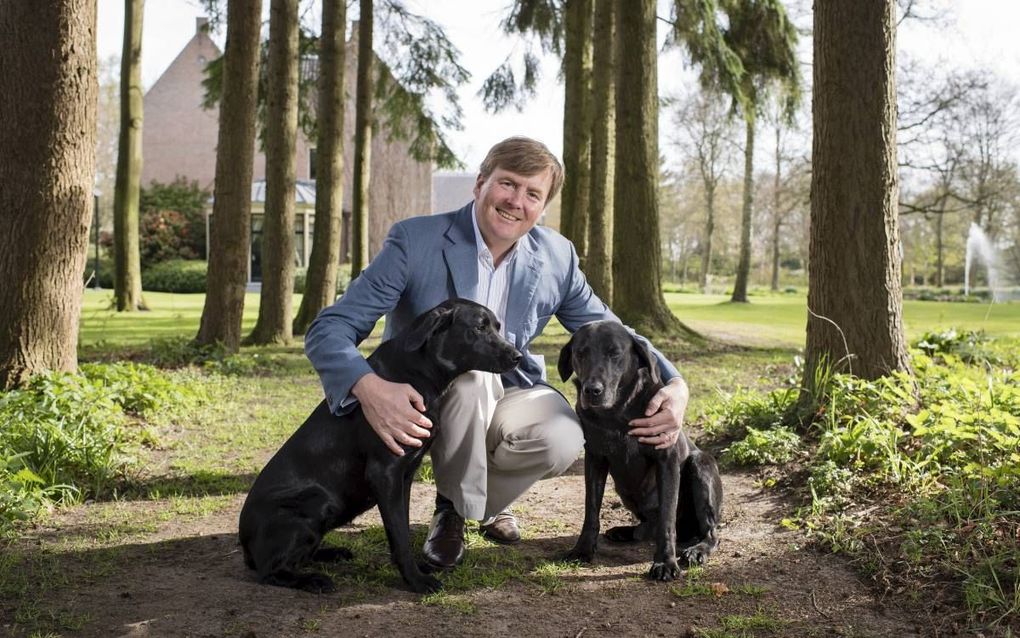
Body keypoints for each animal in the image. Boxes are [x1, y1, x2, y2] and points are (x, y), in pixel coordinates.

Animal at [239, 298, 522, 592]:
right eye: (479, 328)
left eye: (497, 326)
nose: (518, 357)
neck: (417, 372)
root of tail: (245, 542)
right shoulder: (385, 473)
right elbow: (399, 535)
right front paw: (417, 580)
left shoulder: (405, 476)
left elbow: (402, 528)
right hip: (315, 504)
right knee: (272, 571)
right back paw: (314, 580)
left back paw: (333, 553)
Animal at [563, 320, 722, 579]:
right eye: (580, 353)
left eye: (614, 353)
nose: (592, 390)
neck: (616, 413)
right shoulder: (595, 459)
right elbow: (591, 510)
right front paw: (583, 549)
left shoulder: (667, 460)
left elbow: (667, 519)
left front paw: (665, 563)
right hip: (625, 491)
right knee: (647, 528)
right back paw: (626, 531)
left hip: (701, 465)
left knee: (710, 532)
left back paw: (697, 550)